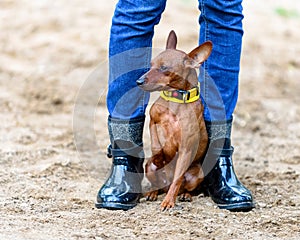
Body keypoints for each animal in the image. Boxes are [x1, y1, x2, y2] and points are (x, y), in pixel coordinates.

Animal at [136, 30, 211, 210]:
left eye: (164, 68)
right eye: (151, 64)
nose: (138, 81)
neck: (175, 100)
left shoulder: (185, 150)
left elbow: (177, 180)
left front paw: (169, 201)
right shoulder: (153, 121)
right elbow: (156, 144)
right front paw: (159, 155)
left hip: (197, 174)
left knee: (183, 187)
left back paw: (184, 195)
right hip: (149, 167)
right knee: (158, 184)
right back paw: (152, 193)